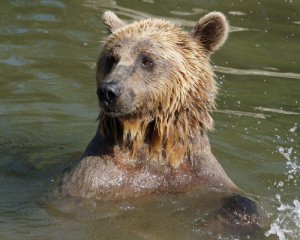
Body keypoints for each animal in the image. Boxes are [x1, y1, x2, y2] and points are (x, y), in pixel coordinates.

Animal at [59, 10, 262, 229]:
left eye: (146, 59)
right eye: (111, 58)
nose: (108, 91)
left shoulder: (197, 173)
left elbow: (237, 197)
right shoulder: (96, 178)